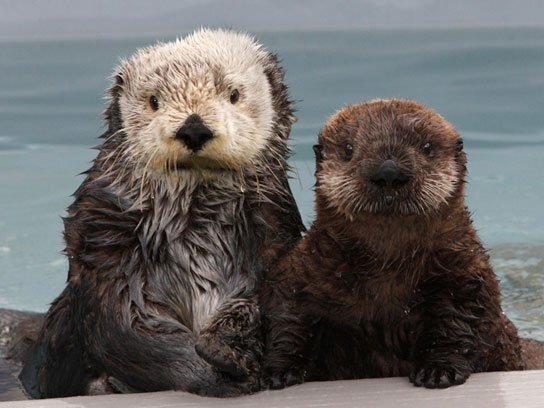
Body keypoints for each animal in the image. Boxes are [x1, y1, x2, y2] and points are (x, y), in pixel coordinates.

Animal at [2, 28, 304, 398]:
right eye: (154, 100)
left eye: (233, 94)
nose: (194, 128)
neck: (197, 222)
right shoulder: (108, 244)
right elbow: (128, 325)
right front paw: (213, 374)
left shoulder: (273, 236)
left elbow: (270, 300)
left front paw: (231, 346)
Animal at [262, 98, 540, 388]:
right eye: (348, 148)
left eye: (426, 147)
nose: (388, 172)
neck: (387, 266)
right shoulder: (305, 268)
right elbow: (287, 313)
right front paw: (280, 371)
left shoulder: (464, 271)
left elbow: (461, 321)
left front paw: (438, 371)